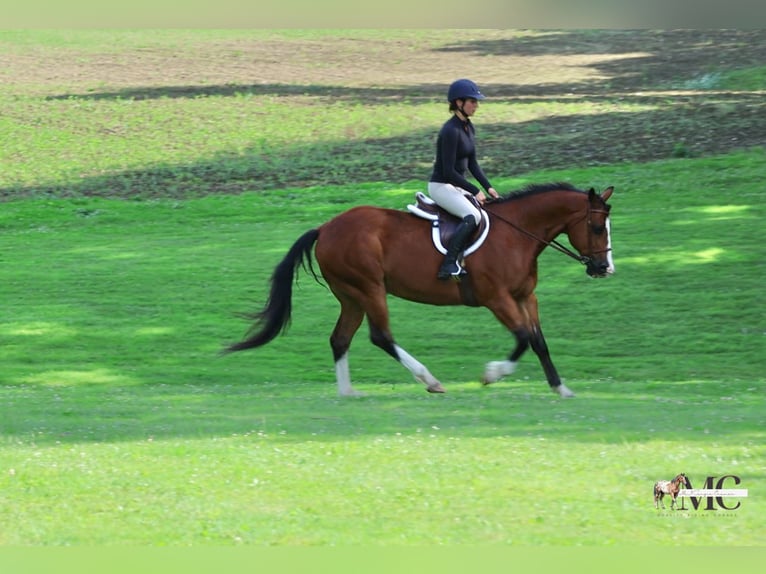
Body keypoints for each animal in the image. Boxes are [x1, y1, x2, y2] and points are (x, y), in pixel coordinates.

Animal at [224, 182, 614, 397]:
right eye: (597, 227)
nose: (604, 268)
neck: (516, 234)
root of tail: (325, 227)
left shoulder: (524, 297)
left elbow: (538, 341)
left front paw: (561, 388)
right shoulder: (497, 299)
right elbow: (522, 338)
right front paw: (491, 375)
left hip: (351, 295)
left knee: (340, 339)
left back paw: (348, 392)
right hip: (369, 288)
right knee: (380, 336)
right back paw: (430, 380)